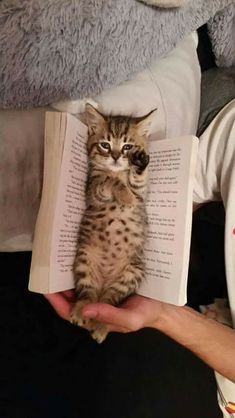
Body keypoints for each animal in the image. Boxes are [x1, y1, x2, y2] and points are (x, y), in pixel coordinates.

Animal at [70, 103, 155, 342]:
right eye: (105, 145)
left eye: (127, 147)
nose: (116, 157)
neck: (118, 172)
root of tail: (104, 282)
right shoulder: (92, 190)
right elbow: (106, 180)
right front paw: (123, 194)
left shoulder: (141, 193)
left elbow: (137, 181)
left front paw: (137, 170)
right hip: (84, 260)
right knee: (88, 294)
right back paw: (80, 311)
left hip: (131, 273)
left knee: (109, 302)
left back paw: (100, 324)